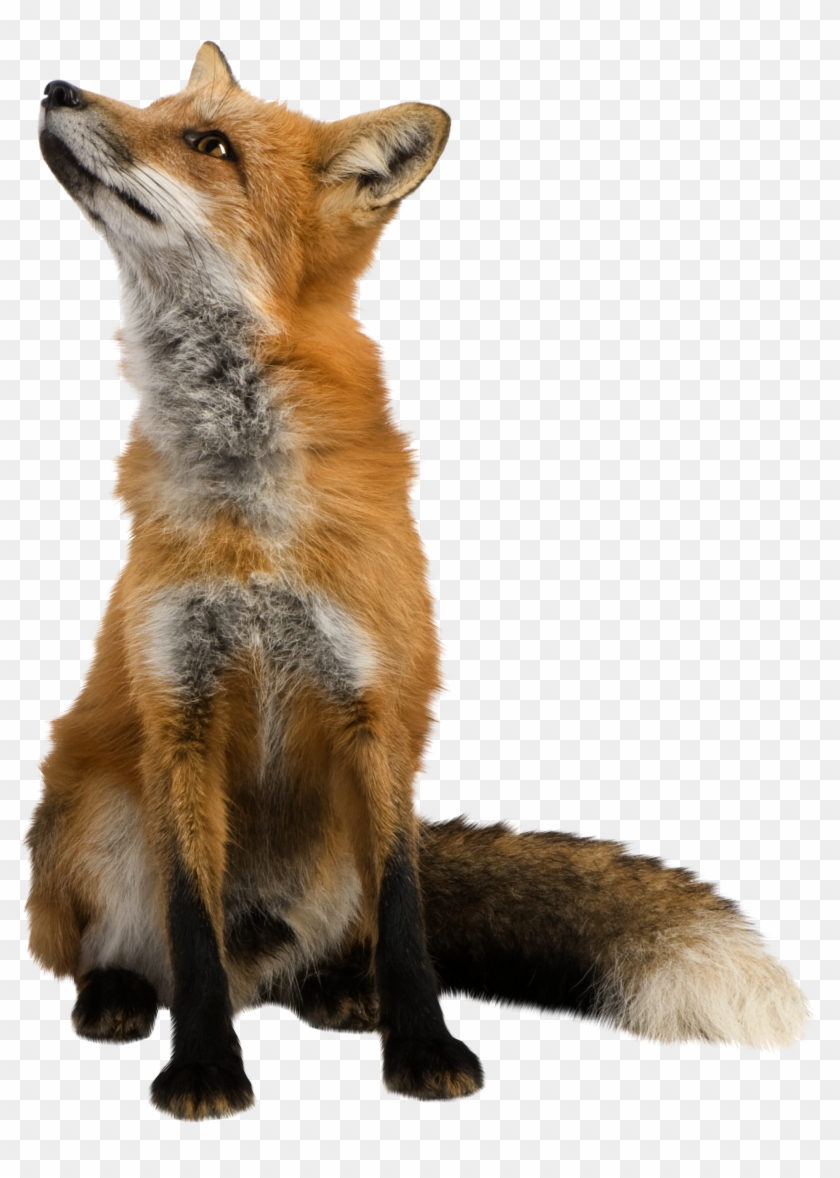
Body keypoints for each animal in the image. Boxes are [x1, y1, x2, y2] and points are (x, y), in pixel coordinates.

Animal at [28, 42, 809, 1121]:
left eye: (208, 142)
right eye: (154, 102)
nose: (55, 87)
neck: (252, 515)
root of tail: (265, 959)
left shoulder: (379, 709)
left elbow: (406, 917)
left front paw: (425, 1050)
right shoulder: (177, 707)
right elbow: (189, 921)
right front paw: (206, 1070)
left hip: (334, 851)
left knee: (338, 941)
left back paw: (339, 990)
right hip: (92, 814)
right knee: (138, 953)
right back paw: (119, 994)